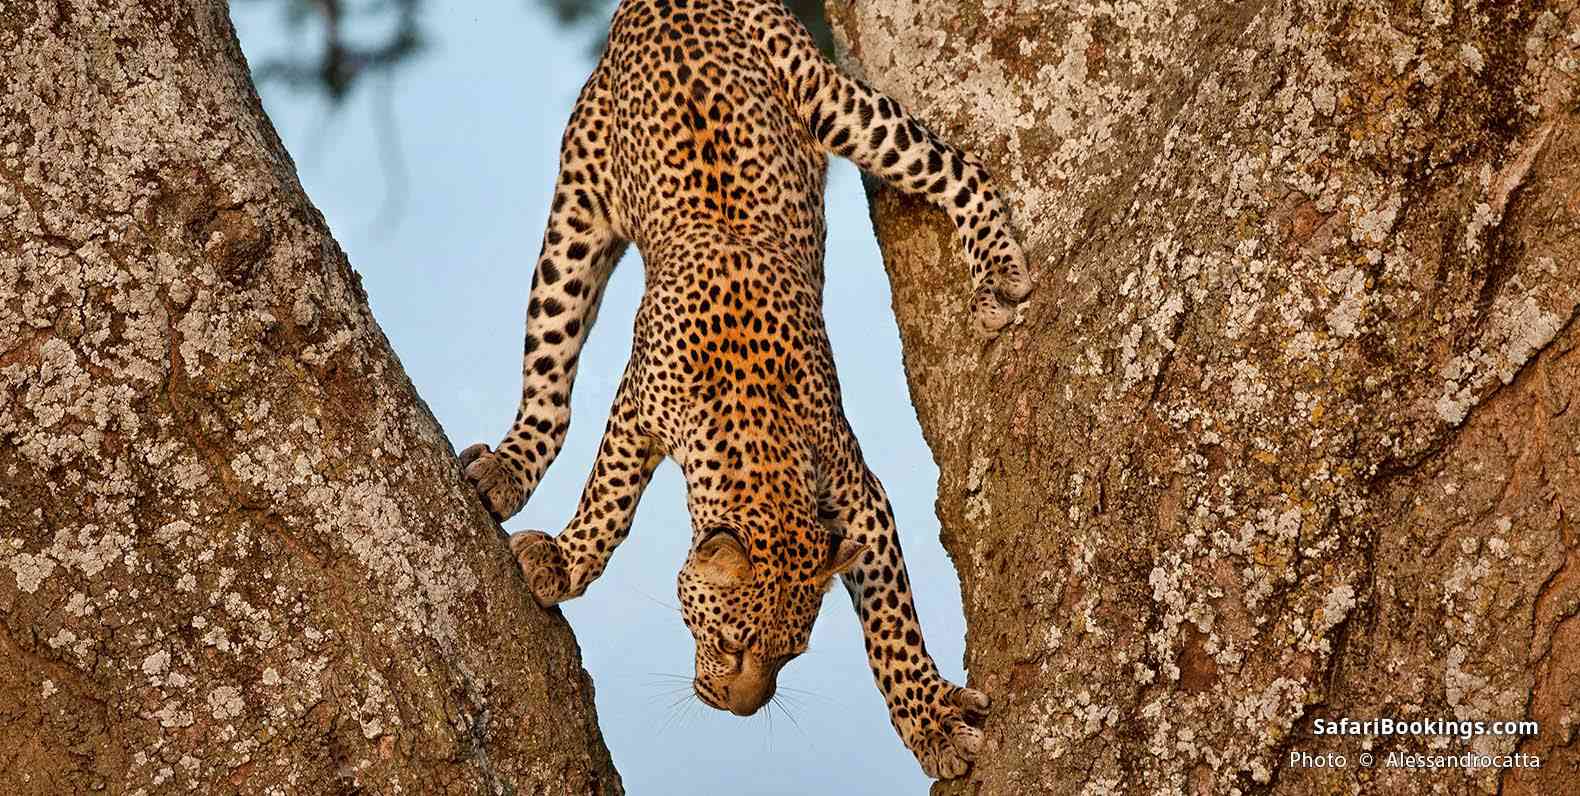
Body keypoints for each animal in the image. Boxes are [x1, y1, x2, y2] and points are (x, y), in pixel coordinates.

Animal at [458, 0, 1030, 779]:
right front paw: (566, 561)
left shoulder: (859, 495)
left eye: (790, 655)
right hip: (575, 211)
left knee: (956, 165)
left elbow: (892, 623)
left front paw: (931, 718)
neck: (755, 440)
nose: (740, 709)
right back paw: (508, 466)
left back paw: (997, 267)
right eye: (731, 642)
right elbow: (610, 498)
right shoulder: (638, 405)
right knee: (549, 377)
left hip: (832, 103)